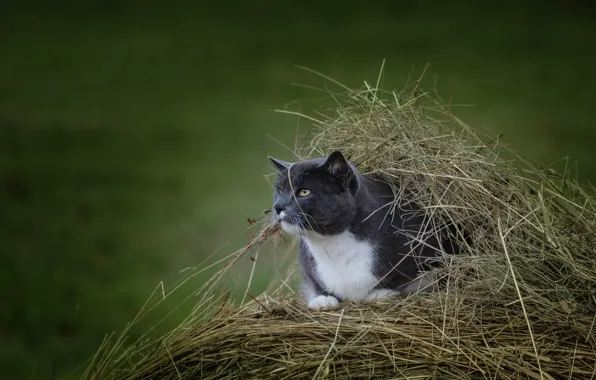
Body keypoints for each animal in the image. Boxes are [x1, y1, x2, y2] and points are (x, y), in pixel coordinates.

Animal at [268, 150, 460, 310]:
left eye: (304, 192)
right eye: (280, 189)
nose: (277, 207)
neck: (333, 241)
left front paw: (381, 293)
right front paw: (323, 300)